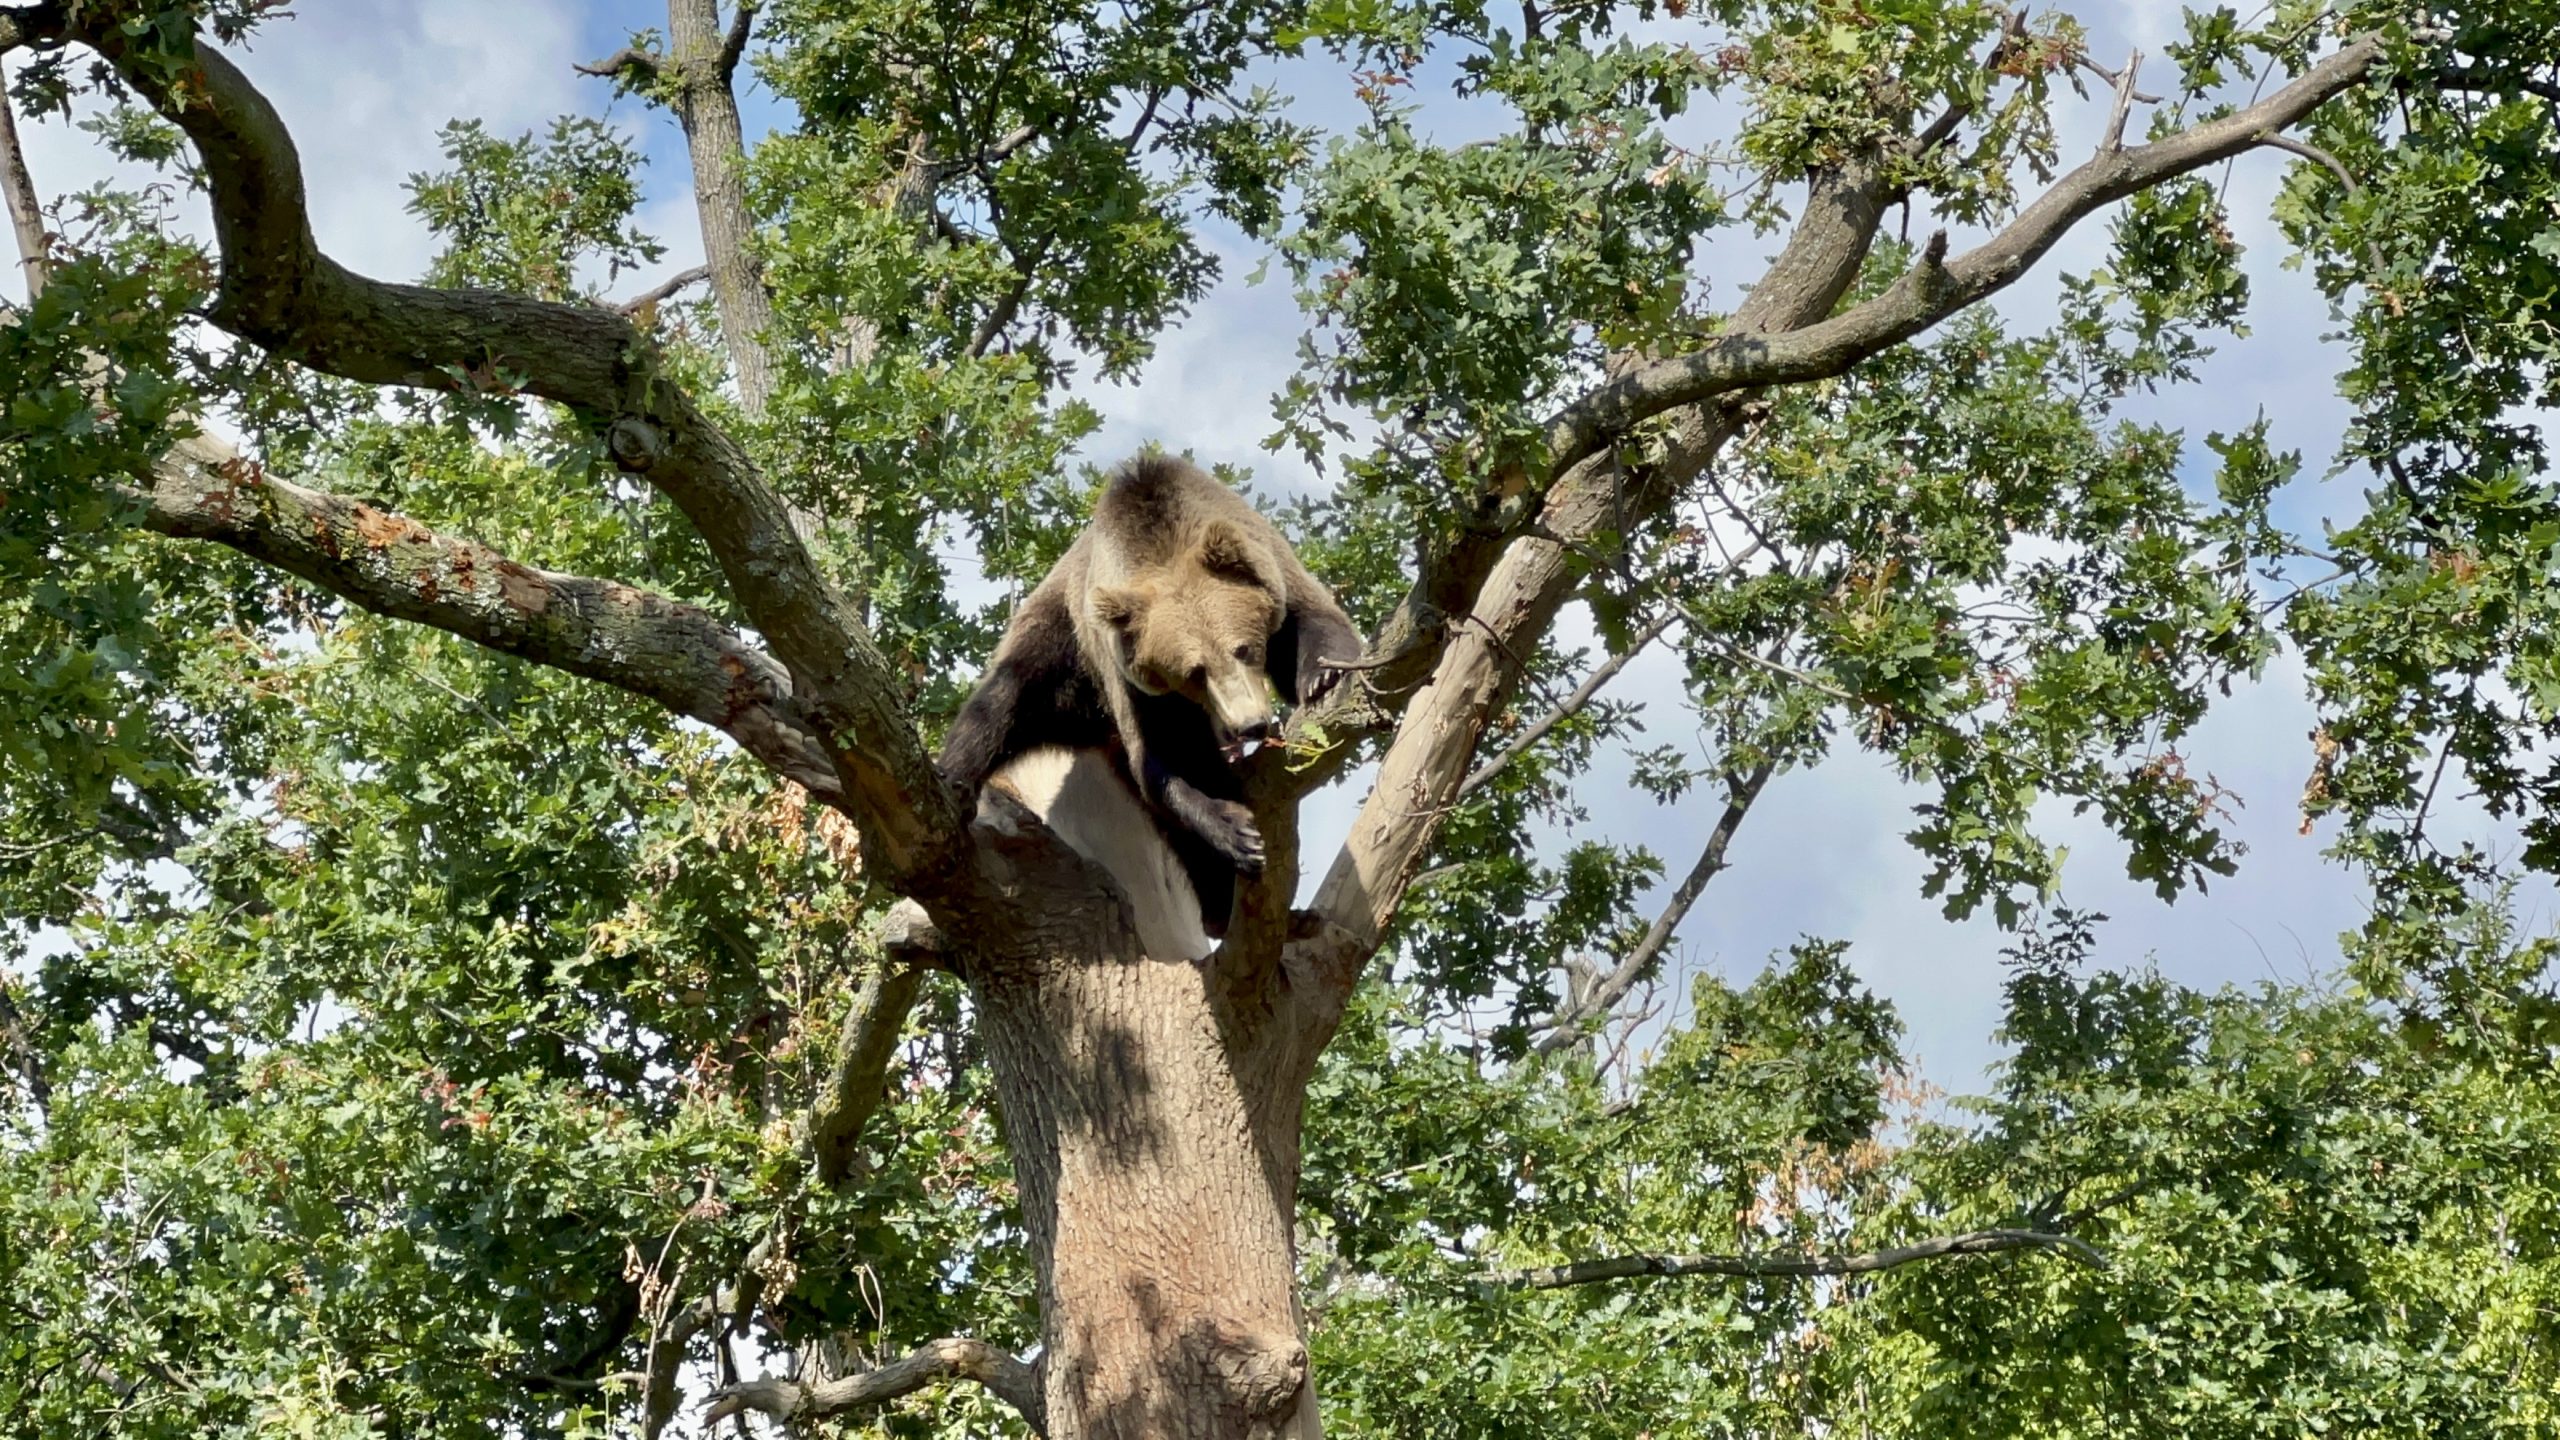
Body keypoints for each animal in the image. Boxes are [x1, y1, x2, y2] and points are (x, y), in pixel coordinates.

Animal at [942, 450, 1372, 942]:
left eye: (1243, 648)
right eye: (1194, 672)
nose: (1250, 725)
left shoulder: (1269, 565)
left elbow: (1314, 619)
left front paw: (1322, 677)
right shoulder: (1127, 676)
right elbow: (1162, 760)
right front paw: (1233, 828)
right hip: (1056, 655)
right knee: (999, 707)